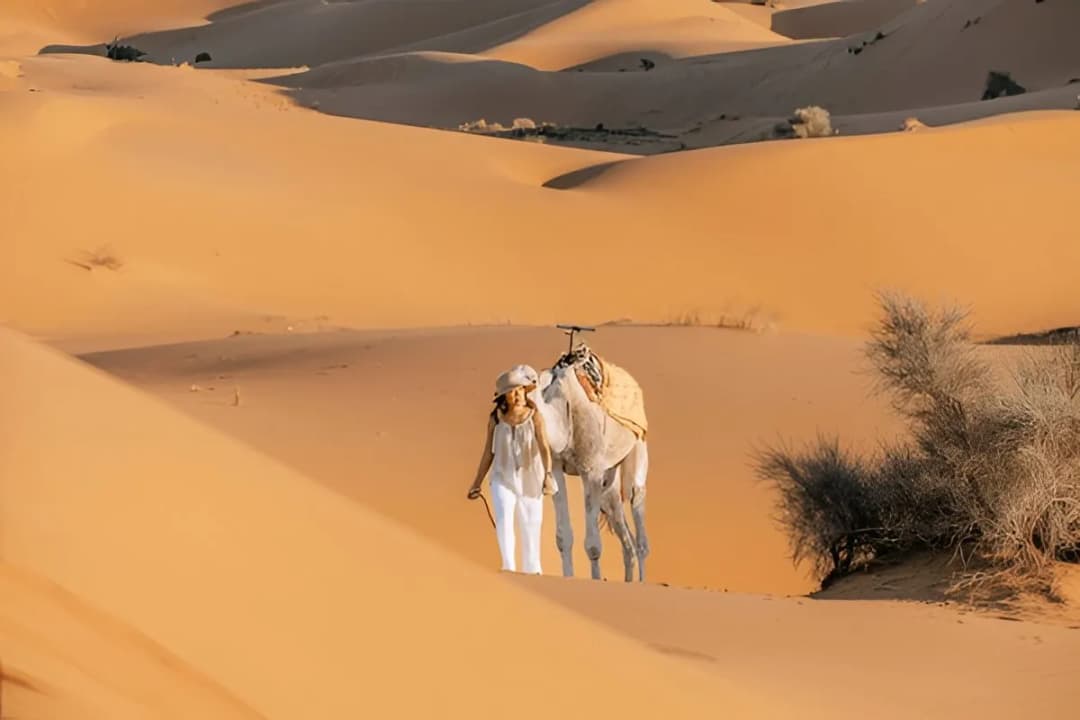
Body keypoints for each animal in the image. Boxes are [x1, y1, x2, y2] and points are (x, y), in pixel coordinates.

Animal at [523, 349, 650, 582]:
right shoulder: (556, 466)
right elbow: (563, 537)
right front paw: (568, 578)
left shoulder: (590, 470)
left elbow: (593, 545)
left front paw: (596, 580)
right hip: (609, 480)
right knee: (624, 531)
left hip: (638, 445)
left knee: (638, 511)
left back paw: (641, 582)